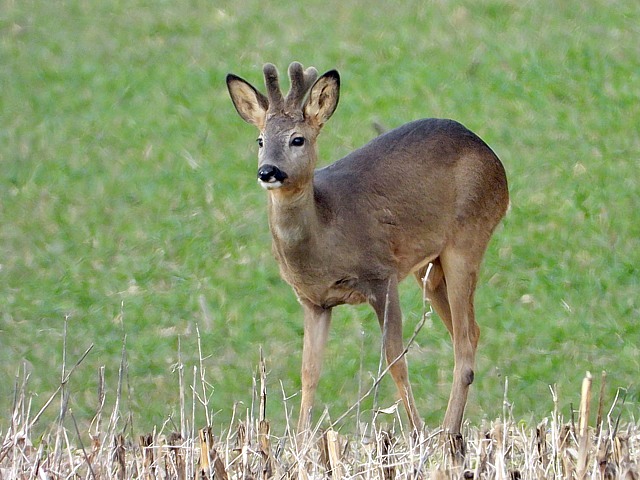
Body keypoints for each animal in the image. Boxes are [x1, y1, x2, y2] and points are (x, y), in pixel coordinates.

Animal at [228, 62, 508, 436]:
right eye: (260, 140)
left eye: (297, 139)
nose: (268, 171)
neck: (327, 233)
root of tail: (491, 156)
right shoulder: (313, 300)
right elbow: (309, 373)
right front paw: (300, 442)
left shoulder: (381, 275)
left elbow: (395, 360)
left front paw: (417, 433)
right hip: (428, 266)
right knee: (470, 333)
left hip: (468, 237)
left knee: (464, 341)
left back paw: (445, 433)